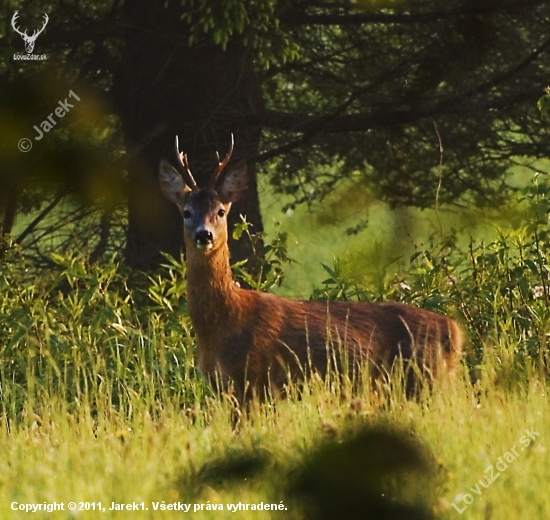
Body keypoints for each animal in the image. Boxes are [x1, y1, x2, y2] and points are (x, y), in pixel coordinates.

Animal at [158, 136, 462, 400]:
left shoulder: (252, 378)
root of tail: (456, 331)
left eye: (221, 211)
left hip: (424, 377)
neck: (223, 322)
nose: (204, 235)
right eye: (186, 212)